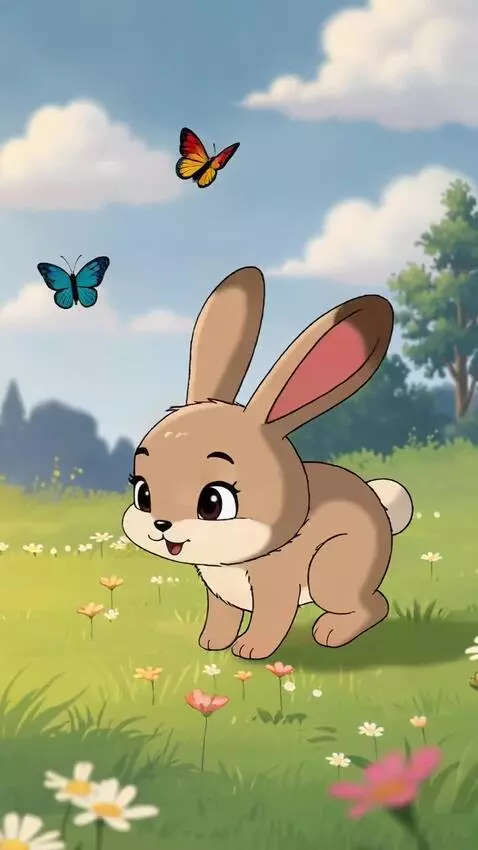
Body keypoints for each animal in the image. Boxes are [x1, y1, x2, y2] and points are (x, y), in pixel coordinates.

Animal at [123, 266, 414, 660]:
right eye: (143, 493)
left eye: (213, 502)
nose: (161, 524)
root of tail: (379, 503)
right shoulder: (218, 594)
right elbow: (222, 616)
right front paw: (211, 643)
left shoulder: (277, 585)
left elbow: (271, 620)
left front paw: (250, 650)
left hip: (332, 571)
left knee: (374, 605)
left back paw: (331, 632)